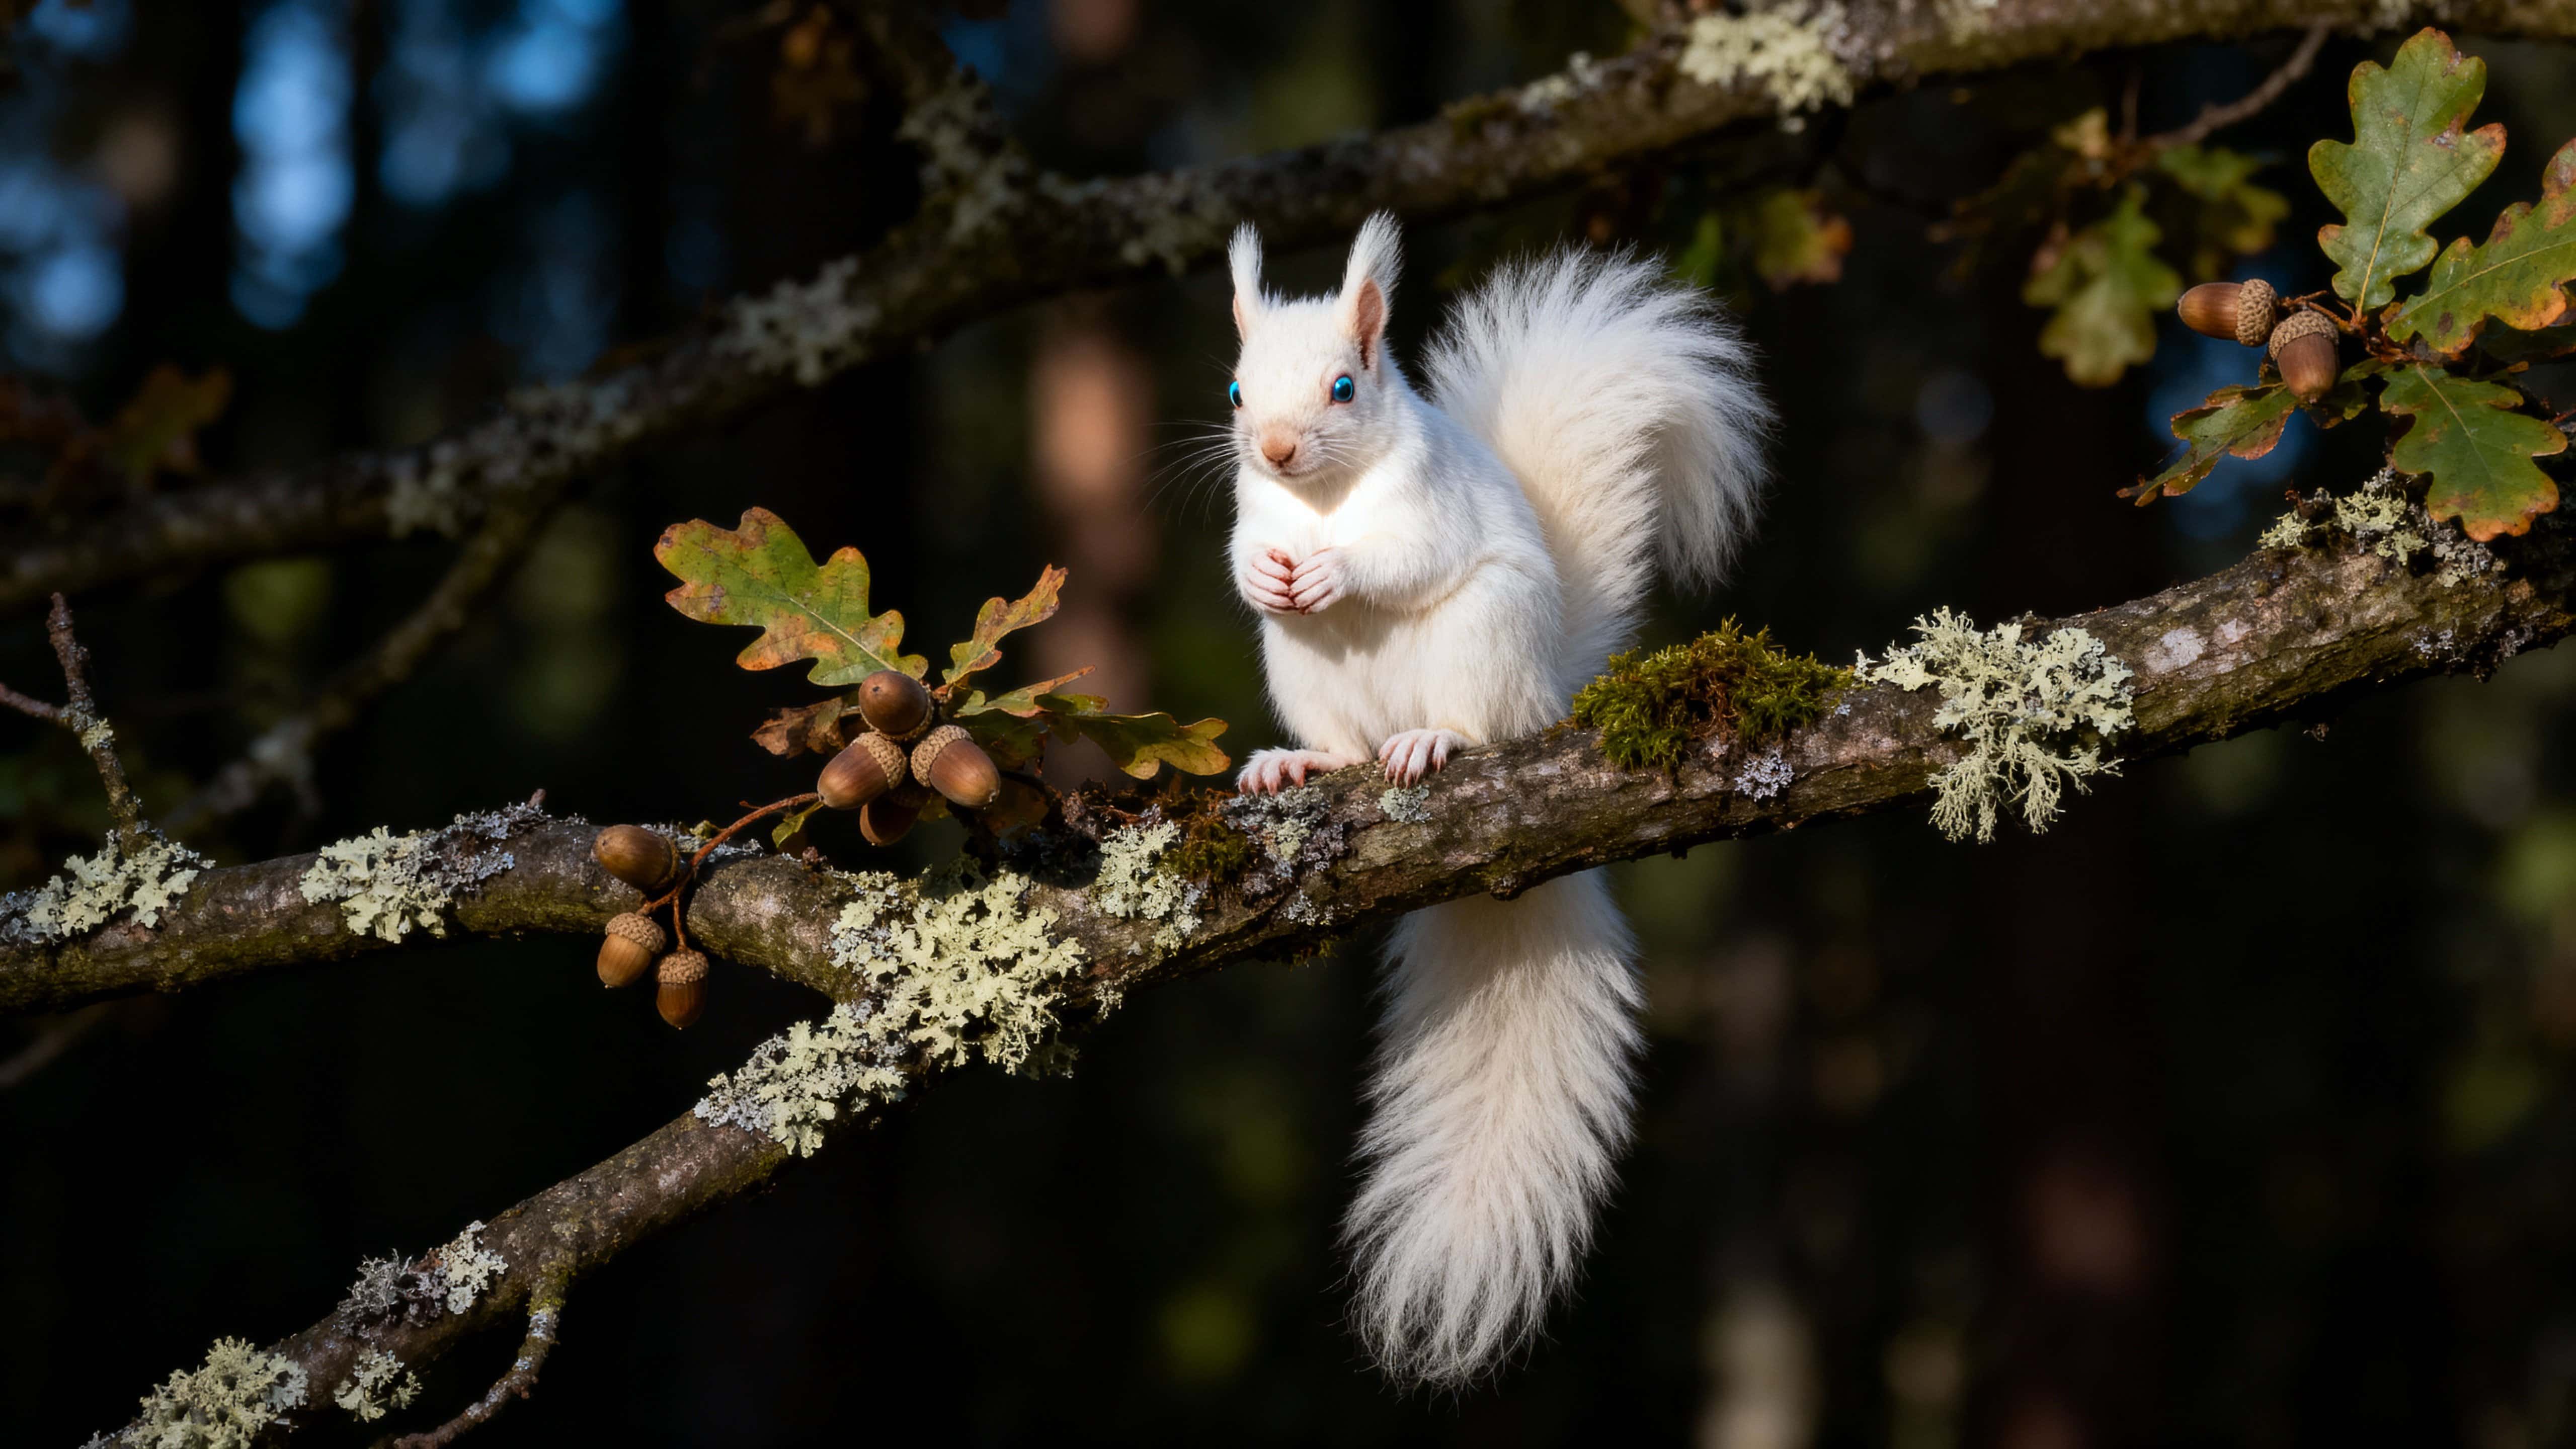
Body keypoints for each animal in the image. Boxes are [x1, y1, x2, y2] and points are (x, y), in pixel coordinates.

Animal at [1222, 213, 1770, 1387]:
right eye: (1238, 392)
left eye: (1344, 387)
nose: (1275, 451)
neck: (1321, 502)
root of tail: (1541, 704)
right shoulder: (1251, 513)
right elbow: (1244, 552)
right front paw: (1268, 575)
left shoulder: (1428, 507)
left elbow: (1400, 555)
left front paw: (1336, 574)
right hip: (1301, 675)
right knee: (1341, 738)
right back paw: (1304, 764)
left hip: (1485, 642)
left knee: (1467, 720)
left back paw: (1434, 738)